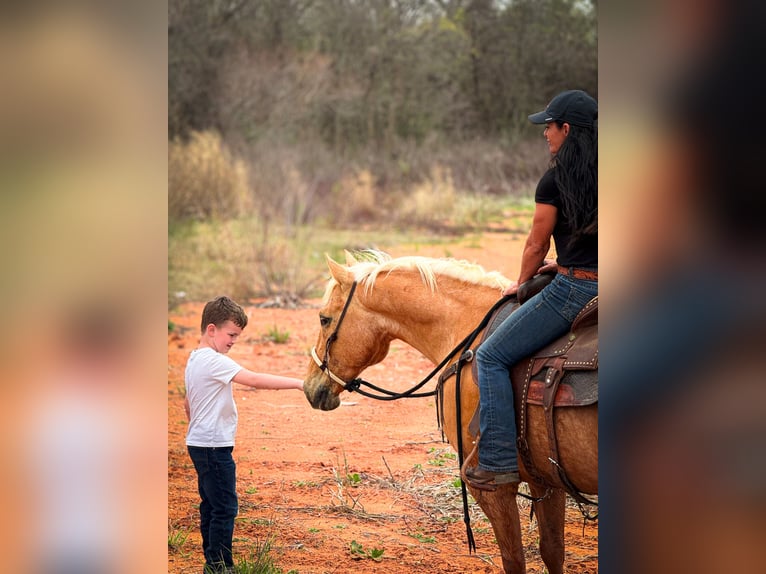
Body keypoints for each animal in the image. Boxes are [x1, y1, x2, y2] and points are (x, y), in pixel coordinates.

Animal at [304, 253, 596, 574]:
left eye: (324, 318)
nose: (309, 387)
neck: (468, 330)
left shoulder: (492, 487)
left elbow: (514, 560)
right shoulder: (545, 478)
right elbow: (553, 551)